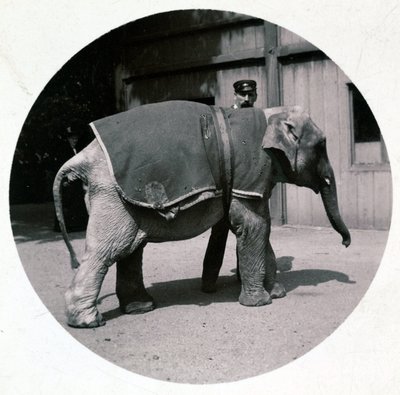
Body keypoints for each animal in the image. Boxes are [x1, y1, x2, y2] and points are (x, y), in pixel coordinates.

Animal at [53, 101, 350, 328]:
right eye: (322, 146)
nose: (346, 243)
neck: (273, 113)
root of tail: (83, 156)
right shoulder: (250, 172)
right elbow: (254, 226)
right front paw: (261, 303)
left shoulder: (250, 183)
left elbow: (261, 227)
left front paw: (277, 294)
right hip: (111, 196)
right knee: (108, 250)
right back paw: (90, 322)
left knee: (131, 248)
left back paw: (140, 307)